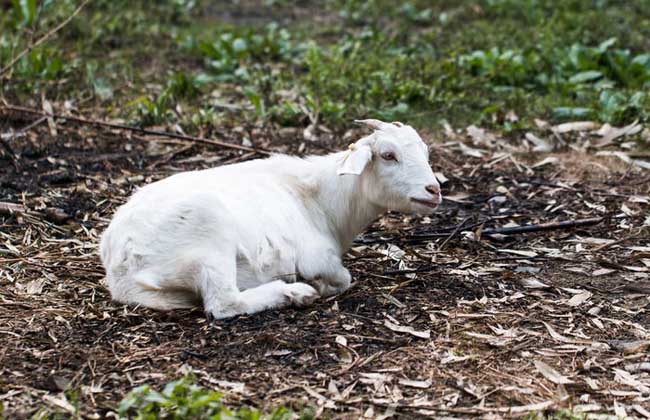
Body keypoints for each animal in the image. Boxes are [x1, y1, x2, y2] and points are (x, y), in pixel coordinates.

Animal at [100, 120, 440, 320]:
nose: (434, 190)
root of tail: (121, 268)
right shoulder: (317, 257)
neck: (320, 199)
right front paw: (314, 285)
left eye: (425, 153)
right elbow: (343, 279)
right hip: (207, 238)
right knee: (224, 303)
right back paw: (293, 293)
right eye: (388, 155)